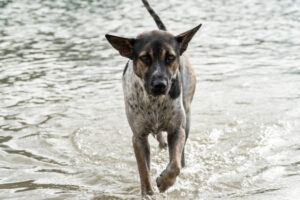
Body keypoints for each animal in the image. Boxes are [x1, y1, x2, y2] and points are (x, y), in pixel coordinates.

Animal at [105, 0, 202, 197]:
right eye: (145, 58)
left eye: (170, 57)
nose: (160, 84)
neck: (154, 102)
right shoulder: (138, 137)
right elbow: (144, 172)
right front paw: (148, 194)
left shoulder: (177, 130)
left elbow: (174, 165)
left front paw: (165, 182)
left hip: (187, 113)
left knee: (180, 154)